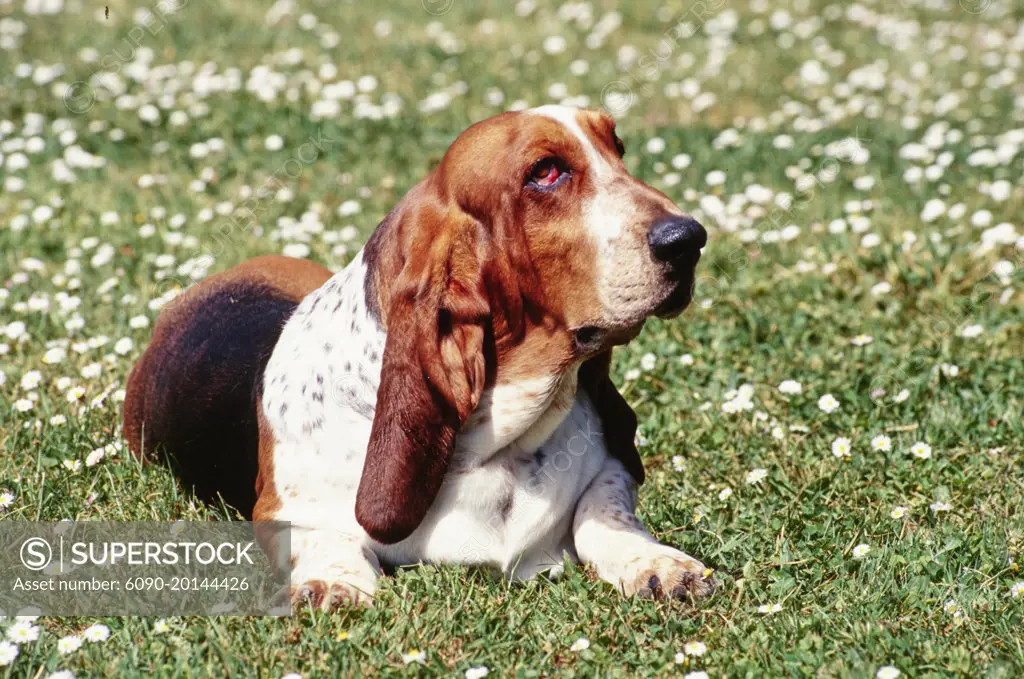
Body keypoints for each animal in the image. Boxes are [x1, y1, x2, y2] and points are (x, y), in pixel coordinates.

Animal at [123, 107, 712, 610]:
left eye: (618, 148)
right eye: (545, 172)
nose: (690, 238)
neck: (497, 444)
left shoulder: (610, 473)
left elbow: (604, 510)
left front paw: (658, 563)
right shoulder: (282, 509)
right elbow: (325, 537)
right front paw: (334, 584)